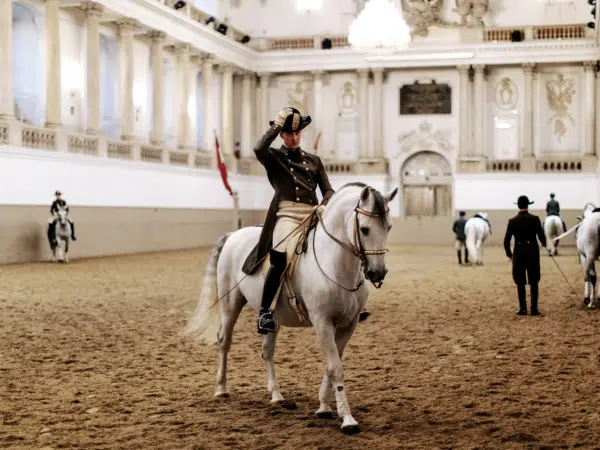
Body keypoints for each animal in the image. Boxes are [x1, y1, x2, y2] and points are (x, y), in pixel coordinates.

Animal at [183, 183, 398, 432]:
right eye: (364, 229)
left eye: (388, 227)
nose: (377, 273)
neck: (334, 263)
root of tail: (233, 235)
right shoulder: (322, 322)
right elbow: (335, 368)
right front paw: (347, 419)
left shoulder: (348, 324)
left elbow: (333, 364)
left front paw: (324, 407)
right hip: (231, 304)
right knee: (224, 341)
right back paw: (221, 389)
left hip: (272, 317)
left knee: (267, 350)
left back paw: (276, 396)